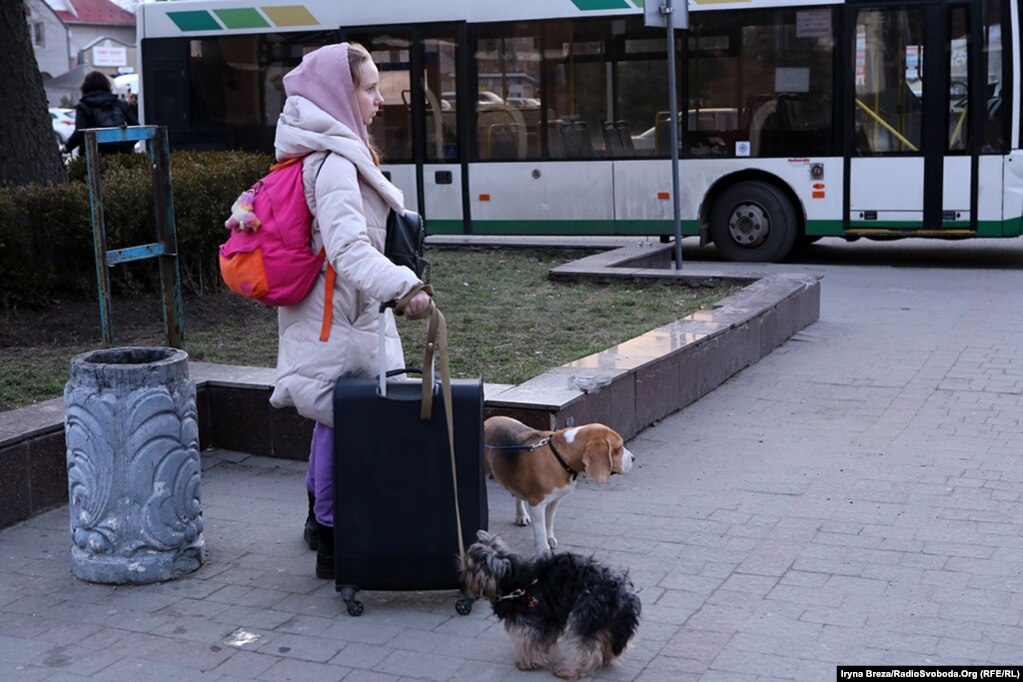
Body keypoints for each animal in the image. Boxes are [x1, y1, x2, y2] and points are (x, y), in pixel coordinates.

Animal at [462, 531, 638, 678]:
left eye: (470, 568)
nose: (462, 567)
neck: (517, 581)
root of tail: (620, 593)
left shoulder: (532, 618)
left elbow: (530, 641)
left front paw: (527, 662)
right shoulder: (549, 620)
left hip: (584, 614)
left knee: (585, 650)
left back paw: (569, 670)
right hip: (603, 621)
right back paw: (606, 657)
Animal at [484, 417, 630, 556]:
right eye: (619, 448)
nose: (633, 458)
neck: (560, 456)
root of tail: (488, 420)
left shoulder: (554, 500)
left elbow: (548, 522)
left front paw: (549, 539)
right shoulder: (537, 504)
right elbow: (540, 530)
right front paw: (544, 551)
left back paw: (521, 515)